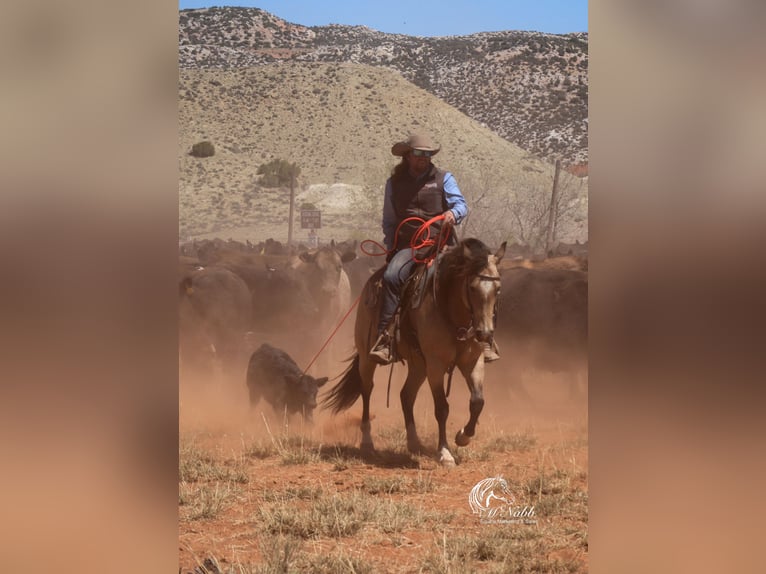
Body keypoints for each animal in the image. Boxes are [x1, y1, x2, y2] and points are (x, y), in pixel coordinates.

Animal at [322, 238, 508, 468]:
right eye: (472, 288)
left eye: (498, 289)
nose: (484, 333)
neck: (451, 312)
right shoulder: (436, 365)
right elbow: (442, 408)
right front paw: (445, 452)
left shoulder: (473, 362)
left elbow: (477, 402)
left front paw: (463, 436)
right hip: (367, 358)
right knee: (367, 391)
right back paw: (367, 442)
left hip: (418, 364)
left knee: (406, 395)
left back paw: (414, 443)